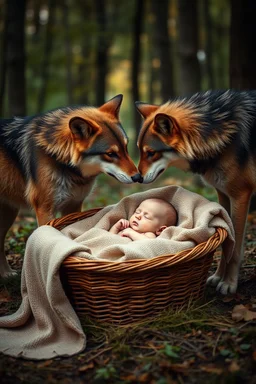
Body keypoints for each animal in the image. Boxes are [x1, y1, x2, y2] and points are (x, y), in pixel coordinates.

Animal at [0, 94, 142, 278]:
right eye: (110, 154)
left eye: (125, 147)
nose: (138, 176)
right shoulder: (45, 209)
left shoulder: (73, 205)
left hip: (9, 213)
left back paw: (6, 273)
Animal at [135, 89, 256, 294]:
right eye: (140, 151)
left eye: (151, 153)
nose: (136, 177)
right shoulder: (223, 194)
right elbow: (225, 240)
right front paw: (218, 277)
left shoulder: (240, 195)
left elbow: (234, 249)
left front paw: (229, 283)